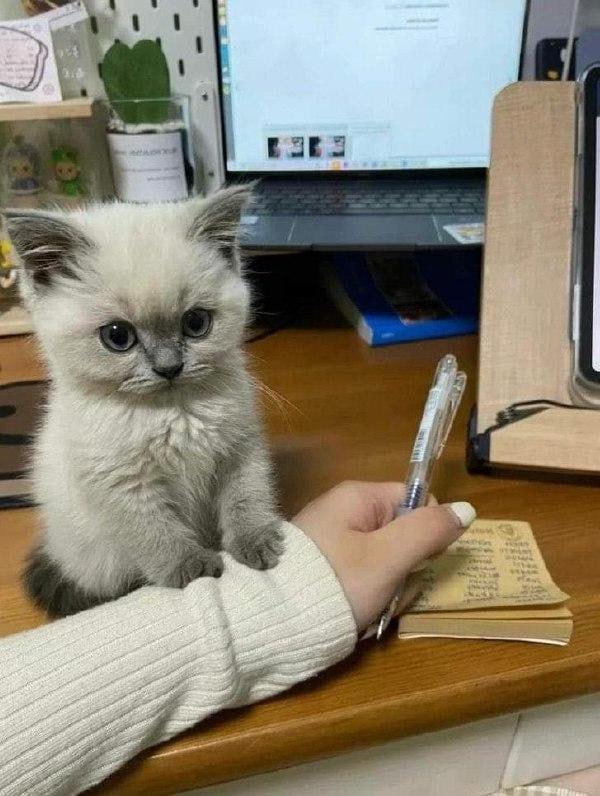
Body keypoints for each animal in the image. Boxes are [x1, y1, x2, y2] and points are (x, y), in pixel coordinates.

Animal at [5, 186, 284, 618]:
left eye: (196, 323)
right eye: (118, 336)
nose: (169, 367)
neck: (173, 412)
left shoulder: (240, 448)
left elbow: (246, 496)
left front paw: (256, 540)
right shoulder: (122, 483)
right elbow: (156, 532)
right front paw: (191, 567)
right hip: (99, 558)